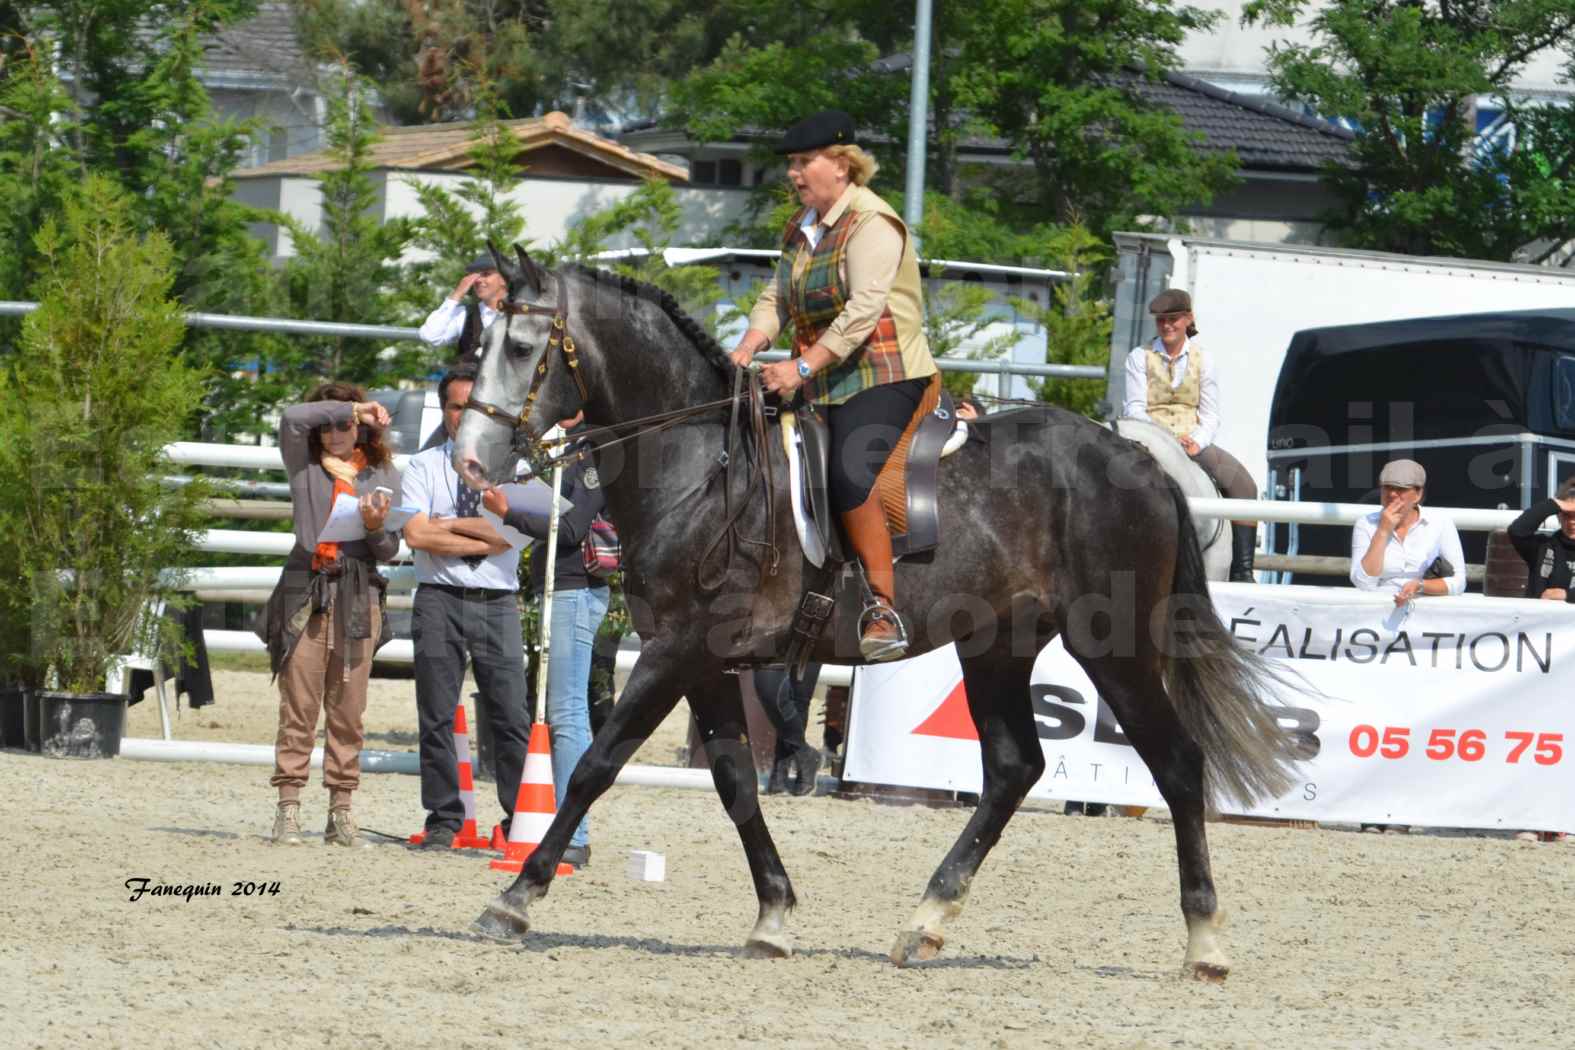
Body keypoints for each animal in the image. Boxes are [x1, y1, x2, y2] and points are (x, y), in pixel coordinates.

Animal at [450, 247, 1297, 976]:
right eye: (482, 342)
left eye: (521, 347)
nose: (469, 461)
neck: (702, 469)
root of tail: (1142, 461)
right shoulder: (704, 657)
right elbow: (732, 779)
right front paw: (773, 915)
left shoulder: (676, 650)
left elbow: (595, 765)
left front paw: (514, 898)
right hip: (997, 644)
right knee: (1013, 767)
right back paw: (925, 922)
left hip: (1114, 645)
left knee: (1176, 762)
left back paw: (1204, 942)